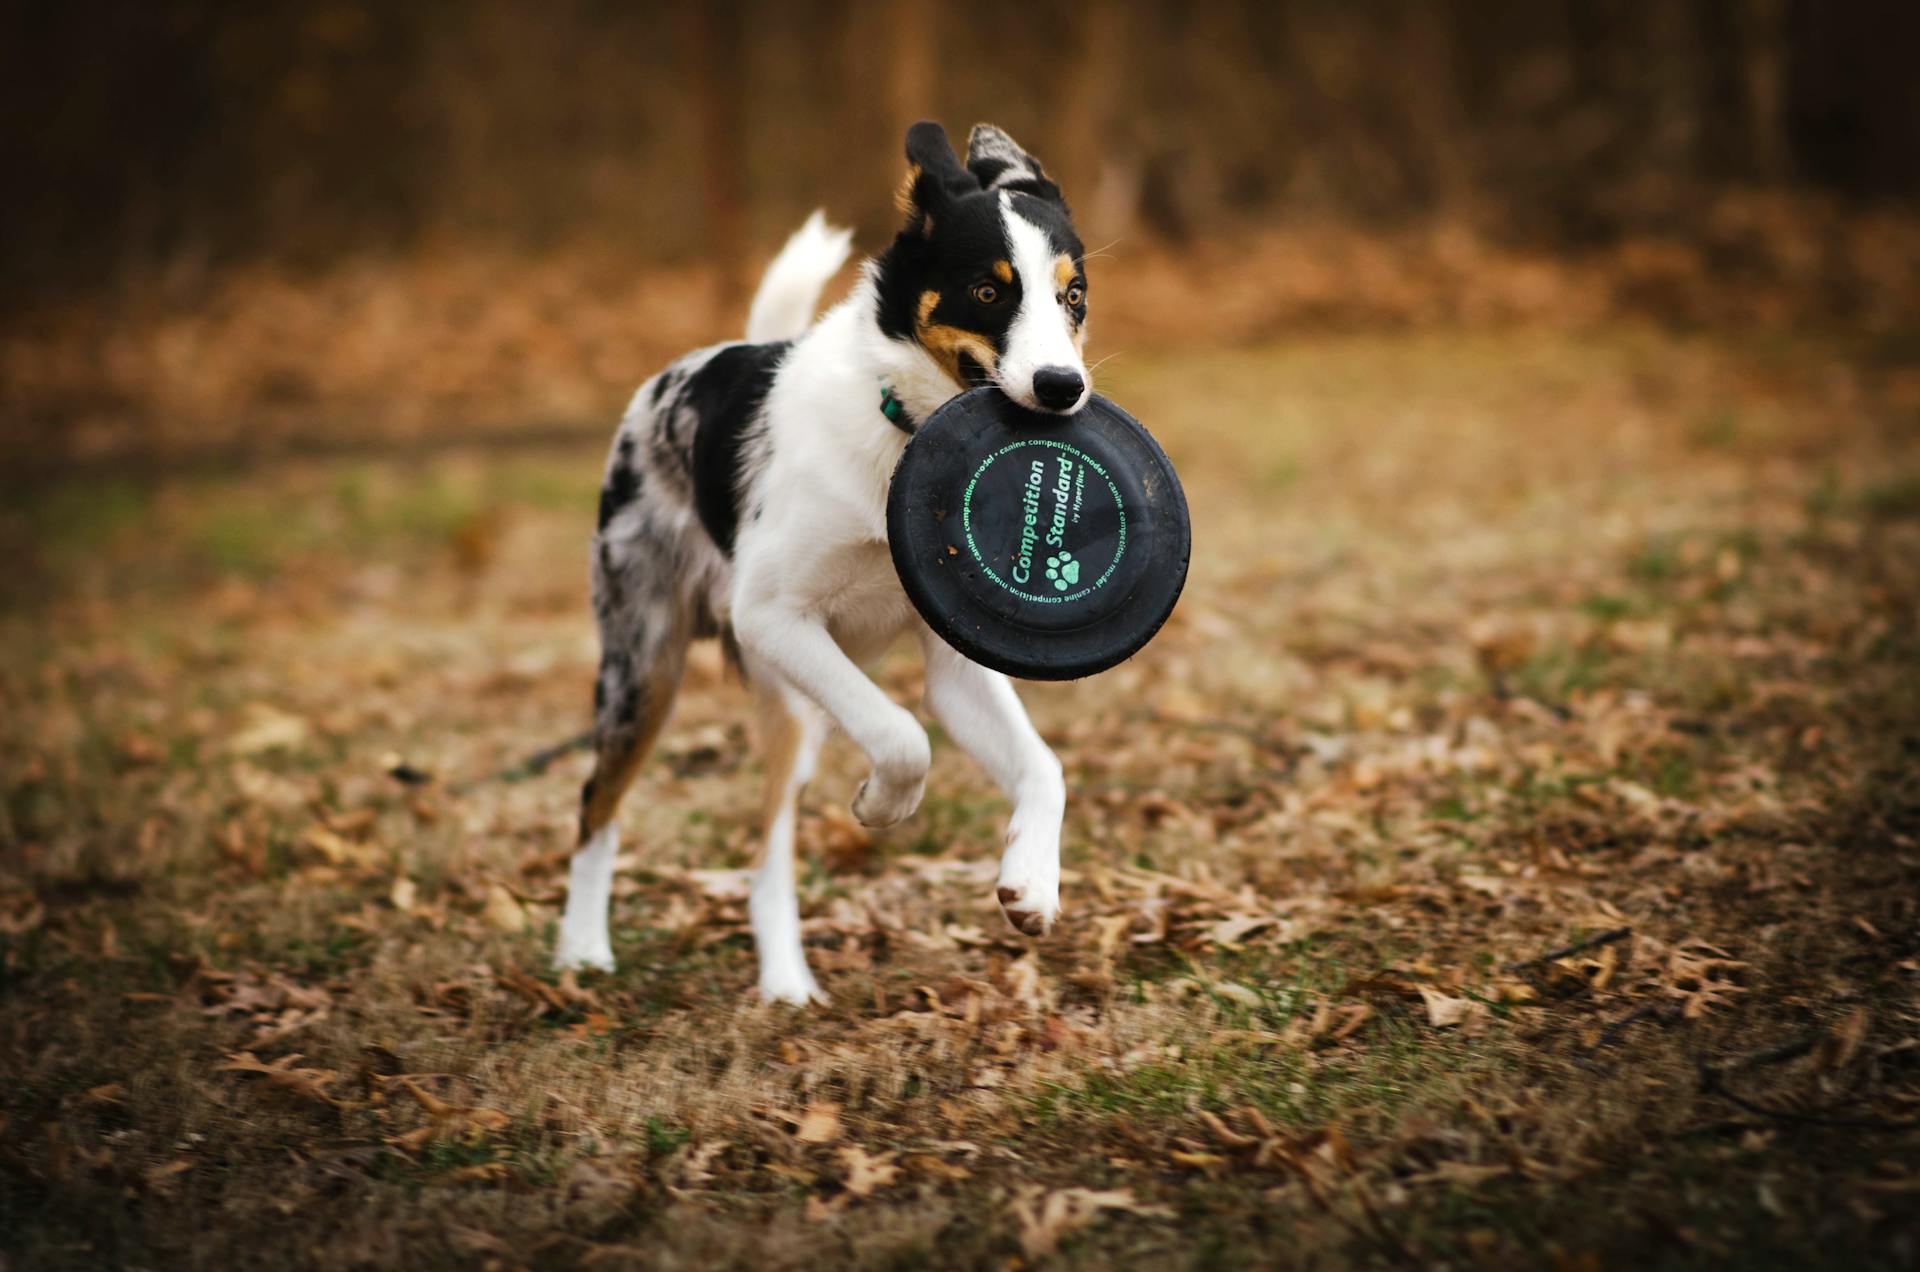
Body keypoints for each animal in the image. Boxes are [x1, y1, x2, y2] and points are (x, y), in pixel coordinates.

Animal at [560, 122, 1090, 1006]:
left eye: (1073, 297)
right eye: (988, 293)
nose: (1063, 387)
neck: (904, 437)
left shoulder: (957, 664)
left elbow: (1043, 767)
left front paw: (1032, 883)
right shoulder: (773, 617)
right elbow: (902, 735)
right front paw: (881, 804)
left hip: (785, 706)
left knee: (765, 860)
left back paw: (784, 980)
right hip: (649, 667)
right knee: (601, 803)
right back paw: (581, 952)